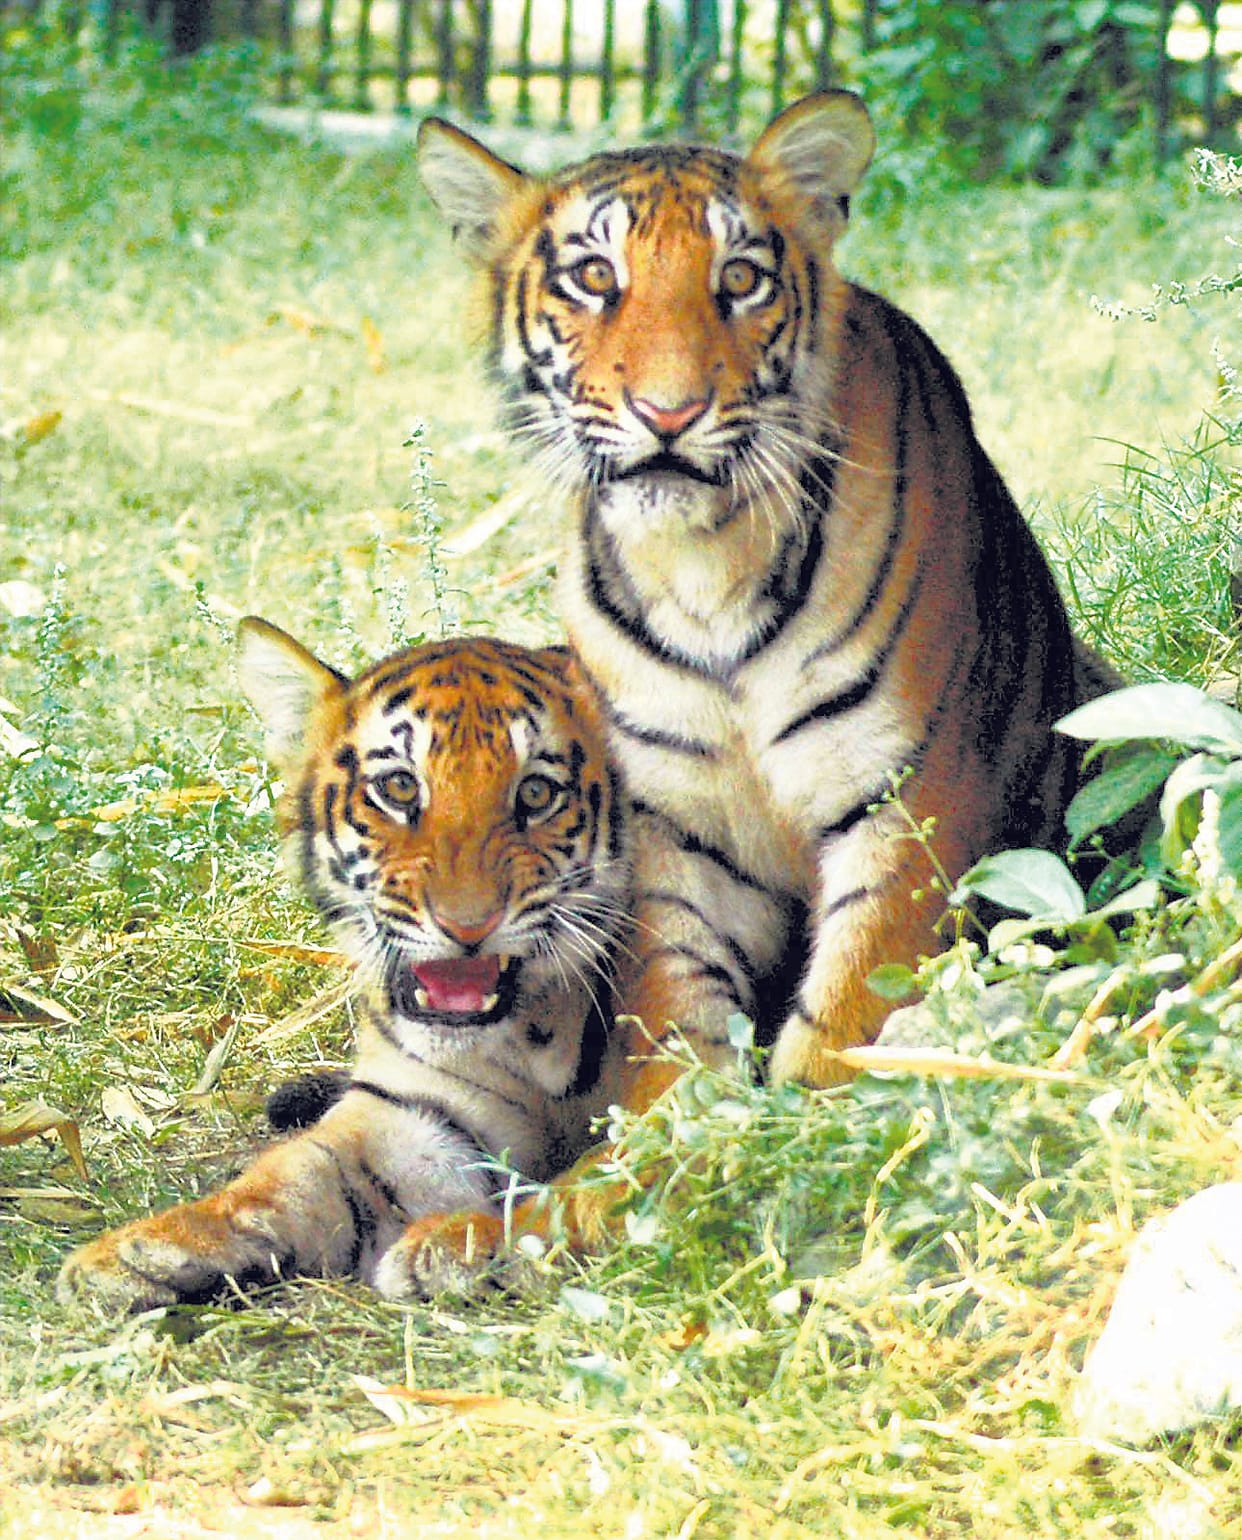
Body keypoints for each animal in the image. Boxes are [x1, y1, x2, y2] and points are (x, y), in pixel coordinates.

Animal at [57, 618, 631, 1312]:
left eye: (537, 793)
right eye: (400, 787)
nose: (467, 925)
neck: (527, 1033)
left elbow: (599, 1177)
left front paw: (462, 1243)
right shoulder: (411, 1111)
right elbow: (290, 1173)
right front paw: (140, 1251)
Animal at [416, 87, 1121, 1102]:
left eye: (741, 278)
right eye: (594, 276)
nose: (668, 414)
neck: (704, 564)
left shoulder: (909, 800)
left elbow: (854, 1012)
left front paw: (804, 1125)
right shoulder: (671, 828)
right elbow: (674, 1004)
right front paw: (677, 1128)